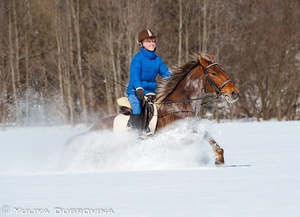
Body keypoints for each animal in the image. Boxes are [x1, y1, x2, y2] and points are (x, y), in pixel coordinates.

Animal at [89, 53, 239, 165]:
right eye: (214, 73)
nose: (234, 93)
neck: (179, 106)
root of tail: (92, 128)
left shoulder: (191, 128)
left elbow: (210, 140)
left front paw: (219, 160)